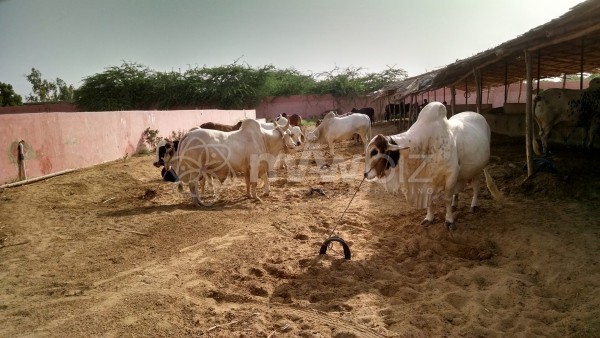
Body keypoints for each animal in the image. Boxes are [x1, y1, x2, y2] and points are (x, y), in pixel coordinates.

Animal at [155, 119, 296, 206]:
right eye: (290, 134)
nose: (295, 145)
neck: (263, 138)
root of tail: (188, 135)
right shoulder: (255, 165)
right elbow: (254, 182)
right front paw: (257, 197)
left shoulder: (247, 168)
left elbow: (248, 182)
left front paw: (249, 195)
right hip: (195, 168)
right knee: (192, 184)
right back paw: (197, 203)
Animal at [364, 101, 500, 231]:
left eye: (374, 151)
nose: (365, 174)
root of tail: (478, 115)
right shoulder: (428, 179)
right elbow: (431, 201)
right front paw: (429, 218)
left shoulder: (451, 174)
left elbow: (446, 198)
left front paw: (449, 220)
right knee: (457, 191)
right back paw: (455, 204)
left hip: (478, 169)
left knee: (476, 186)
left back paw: (474, 205)